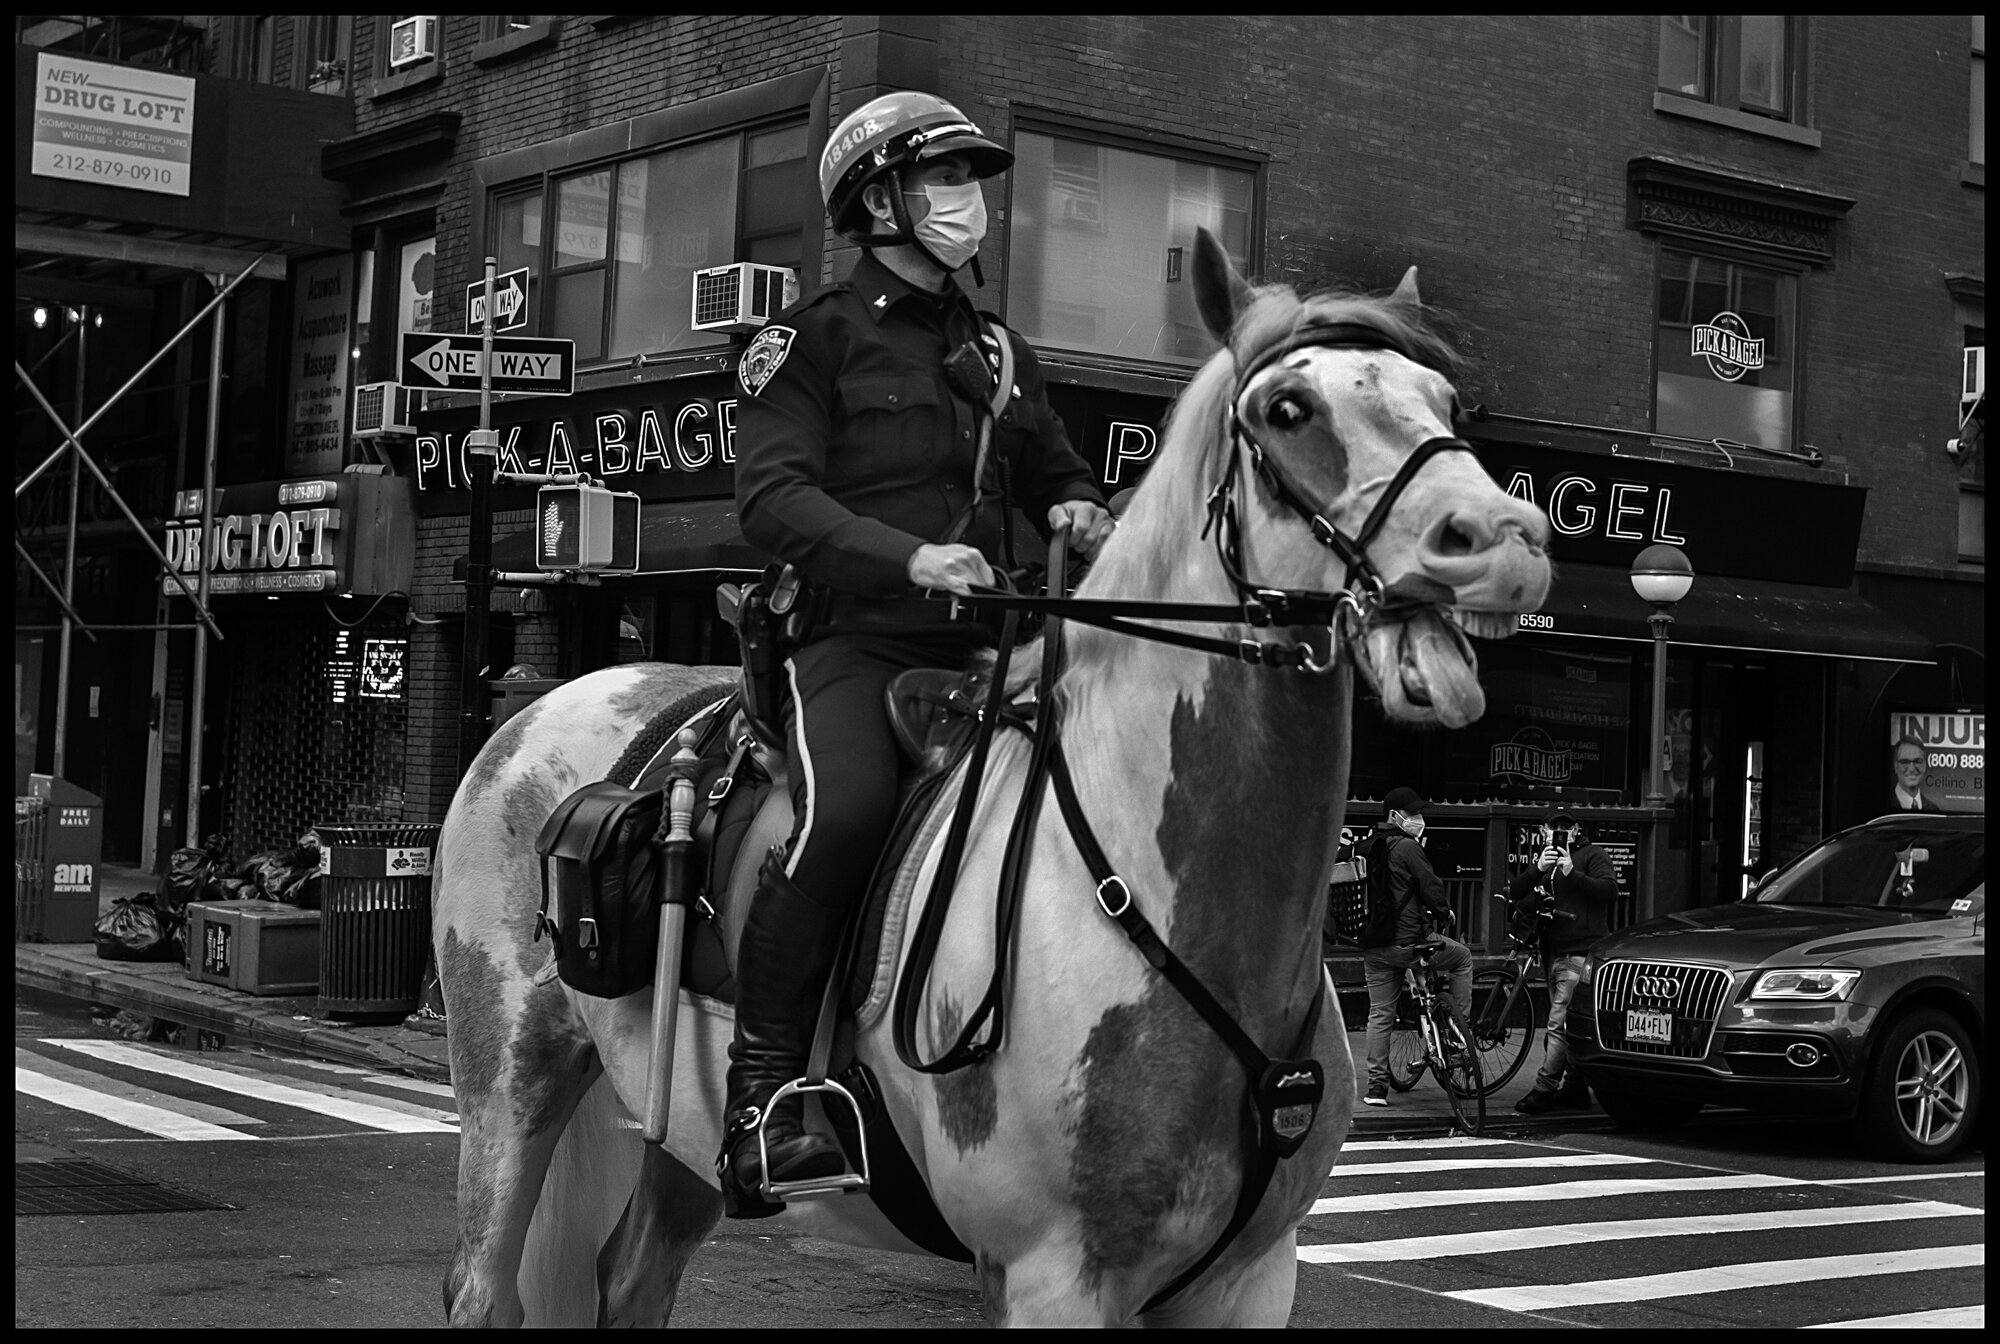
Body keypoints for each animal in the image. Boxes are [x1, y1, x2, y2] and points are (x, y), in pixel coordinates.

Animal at [438, 231, 1552, 1320]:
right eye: (1289, 409)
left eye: (1444, 401)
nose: (1508, 544)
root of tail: (539, 710)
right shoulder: (1051, 1272)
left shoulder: (1249, 1276)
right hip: (509, 1079)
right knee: (482, 1284)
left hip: (681, 1133)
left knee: (631, 1275)